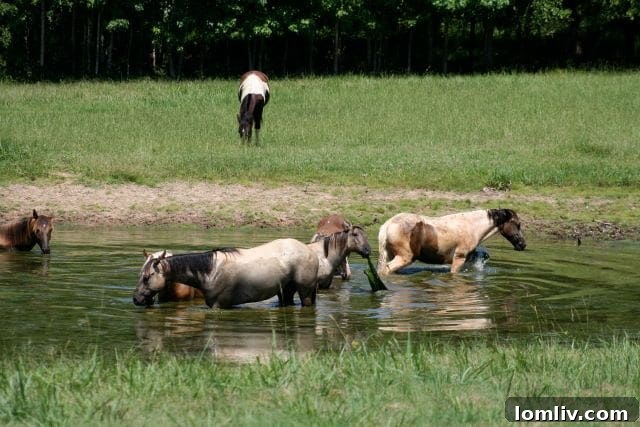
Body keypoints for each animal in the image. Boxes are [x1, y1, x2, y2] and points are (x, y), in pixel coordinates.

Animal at [133, 238, 319, 309]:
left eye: (147, 277)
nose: (136, 300)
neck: (210, 271)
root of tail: (311, 252)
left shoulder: (218, 305)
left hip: (305, 292)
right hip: (285, 291)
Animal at [377, 208, 526, 274]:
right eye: (517, 224)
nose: (522, 245)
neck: (471, 227)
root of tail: (388, 225)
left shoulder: (468, 256)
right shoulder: (459, 258)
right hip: (404, 258)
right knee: (386, 270)